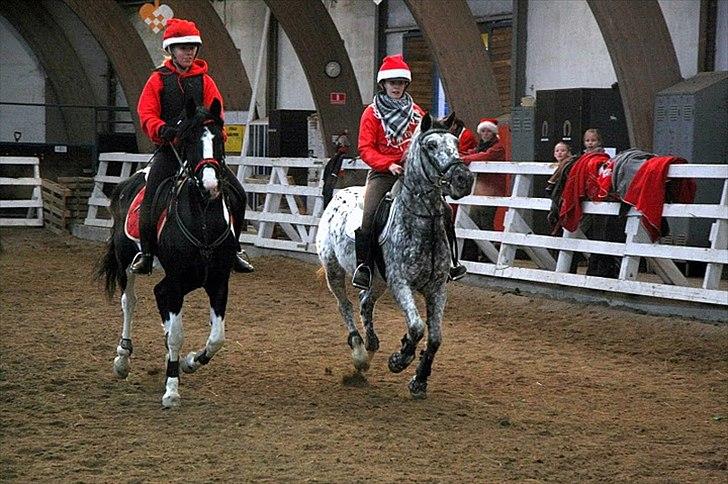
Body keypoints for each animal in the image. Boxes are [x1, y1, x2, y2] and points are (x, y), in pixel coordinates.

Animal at [95, 99, 239, 408]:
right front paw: (172, 389)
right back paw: (122, 359)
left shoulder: (218, 282)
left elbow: (216, 338)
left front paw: (190, 362)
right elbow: (175, 335)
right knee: (129, 302)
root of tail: (130, 181)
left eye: (219, 139)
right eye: (188, 140)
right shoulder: (171, 285)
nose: (210, 186)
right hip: (127, 263)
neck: (203, 221)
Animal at [316, 112, 474, 398]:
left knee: (365, 302)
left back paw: (372, 344)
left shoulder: (437, 288)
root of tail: (338, 195)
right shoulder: (401, 283)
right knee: (345, 306)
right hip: (333, 270)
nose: (463, 179)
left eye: (456, 144)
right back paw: (359, 353)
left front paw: (419, 380)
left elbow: (435, 337)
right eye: (431, 145)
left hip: (378, 280)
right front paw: (400, 359)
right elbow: (417, 327)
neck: (421, 222)